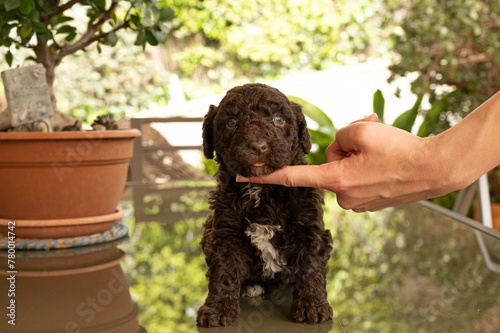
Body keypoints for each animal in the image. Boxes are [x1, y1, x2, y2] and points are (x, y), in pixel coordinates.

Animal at [197, 81, 334, 326]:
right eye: (232, 123)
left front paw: (312, 306)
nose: (258, 146)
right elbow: (223, 271)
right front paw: (217, 309)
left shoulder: (310, 227)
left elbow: (310, 267)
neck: (262, 188)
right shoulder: (225, 232)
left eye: (278, 120)